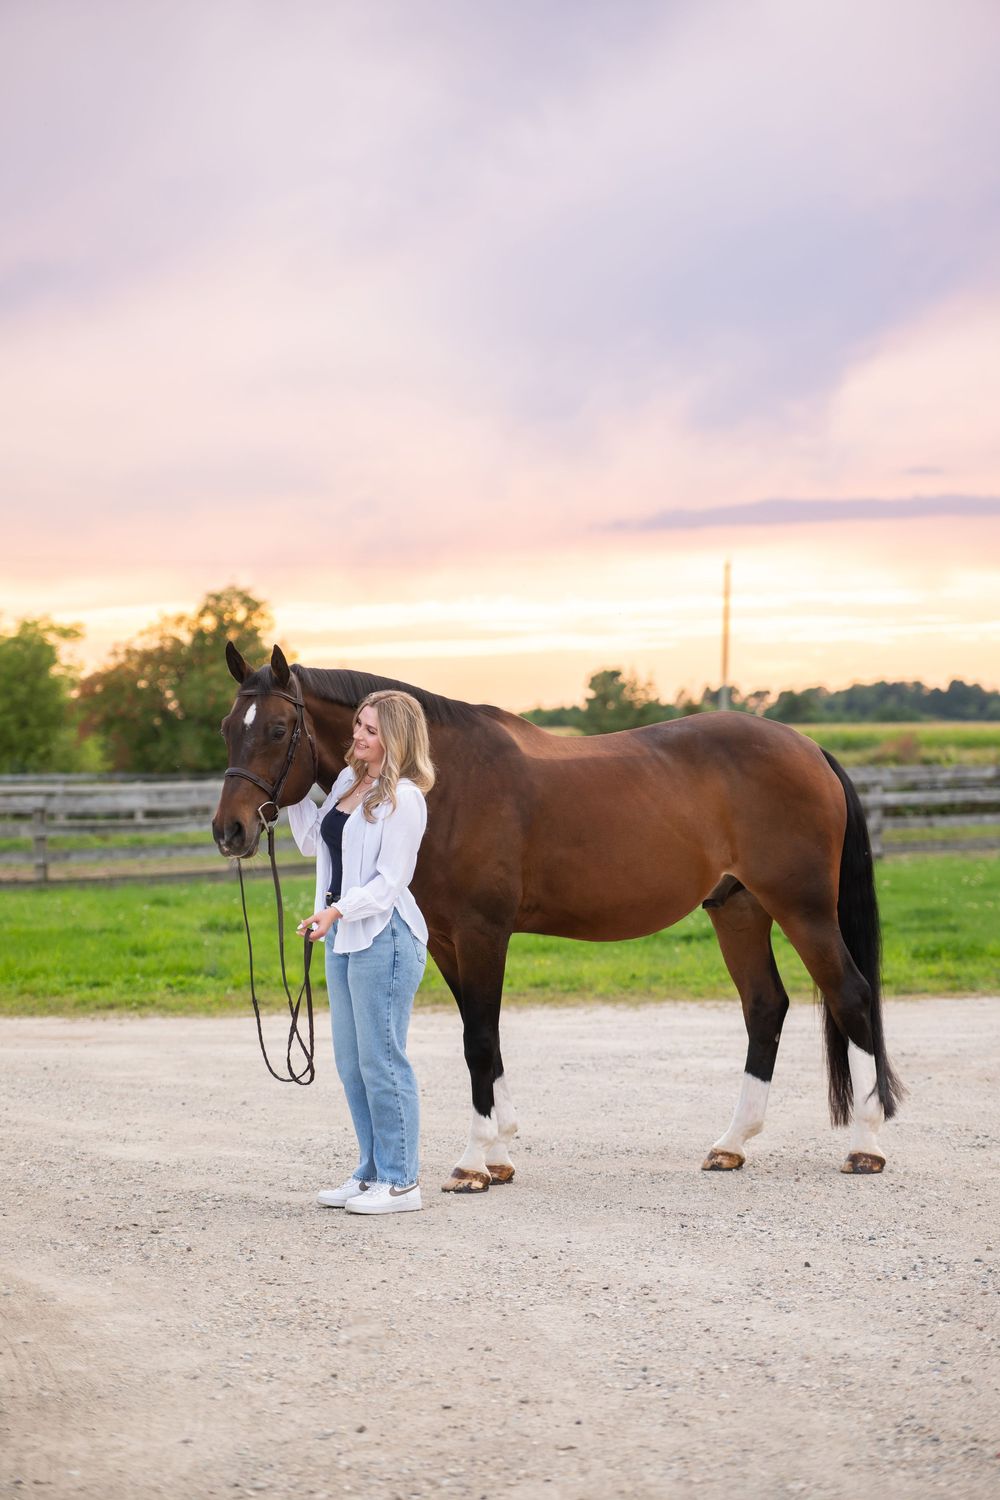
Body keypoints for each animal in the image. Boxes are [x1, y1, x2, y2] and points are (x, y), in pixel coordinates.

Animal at [212, 643, 903, 1192]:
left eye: (278, 728)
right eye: (226, 727)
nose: (230, 831)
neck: (444, 778)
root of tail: (809, 747)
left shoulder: (482, 934)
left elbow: (478, 1039)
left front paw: (472, 1164)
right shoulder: (445, 940)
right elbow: (483, 1041)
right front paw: (498, 1156)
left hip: (802, 909)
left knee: (851, 995)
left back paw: (866, 1146)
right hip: (737, 907)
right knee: (765, 1006)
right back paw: (730, 1144)